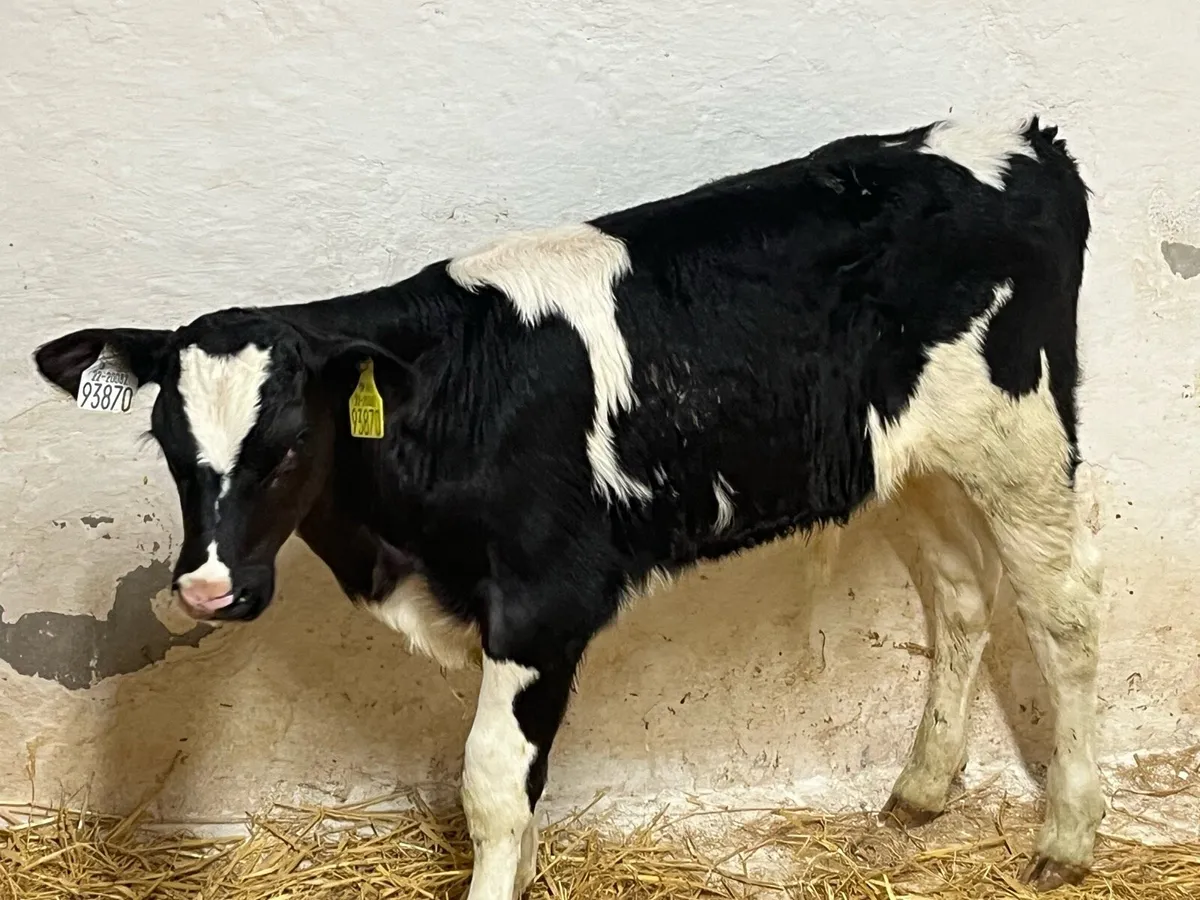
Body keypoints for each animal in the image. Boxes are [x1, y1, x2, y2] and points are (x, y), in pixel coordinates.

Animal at [33, 116, 1104, 899]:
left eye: (291, 443)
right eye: (167, 445)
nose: (207, 591)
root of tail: (1021, 139)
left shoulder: (544, 602)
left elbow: (492, 784)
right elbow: (522, 789)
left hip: (1024, 434)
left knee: (1066, 613)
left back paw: (1068, 835)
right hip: (903, 458)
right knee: (962, 592)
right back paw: (922, 790)